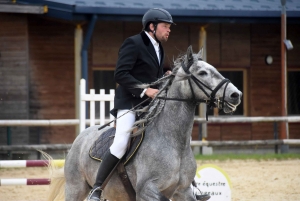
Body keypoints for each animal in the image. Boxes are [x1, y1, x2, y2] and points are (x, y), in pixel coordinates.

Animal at [48, 46, 243, 201]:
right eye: (202, 73)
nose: (236, 95)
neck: (174, 142)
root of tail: (82, 136)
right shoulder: (147, 190)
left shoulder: (183, 191)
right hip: (75, 188)